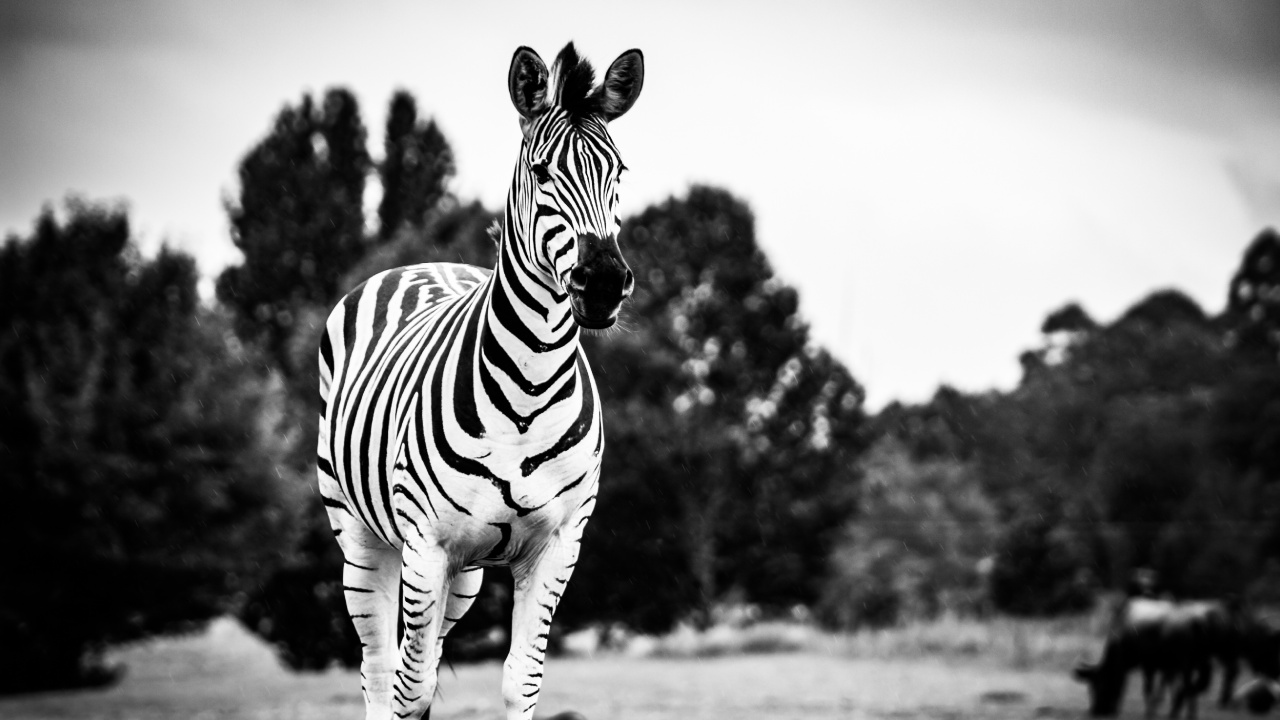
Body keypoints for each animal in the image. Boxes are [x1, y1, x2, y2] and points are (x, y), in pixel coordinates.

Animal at [316, 42, 643, 720]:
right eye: (542, 171)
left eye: (619, 172)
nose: (603, 282)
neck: (529, 391)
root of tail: (425, 262)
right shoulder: (427, 545)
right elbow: (409, 689)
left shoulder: (557, 546)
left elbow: (521, 679)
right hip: (361, 537)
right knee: (380, 669)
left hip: (463, 575)